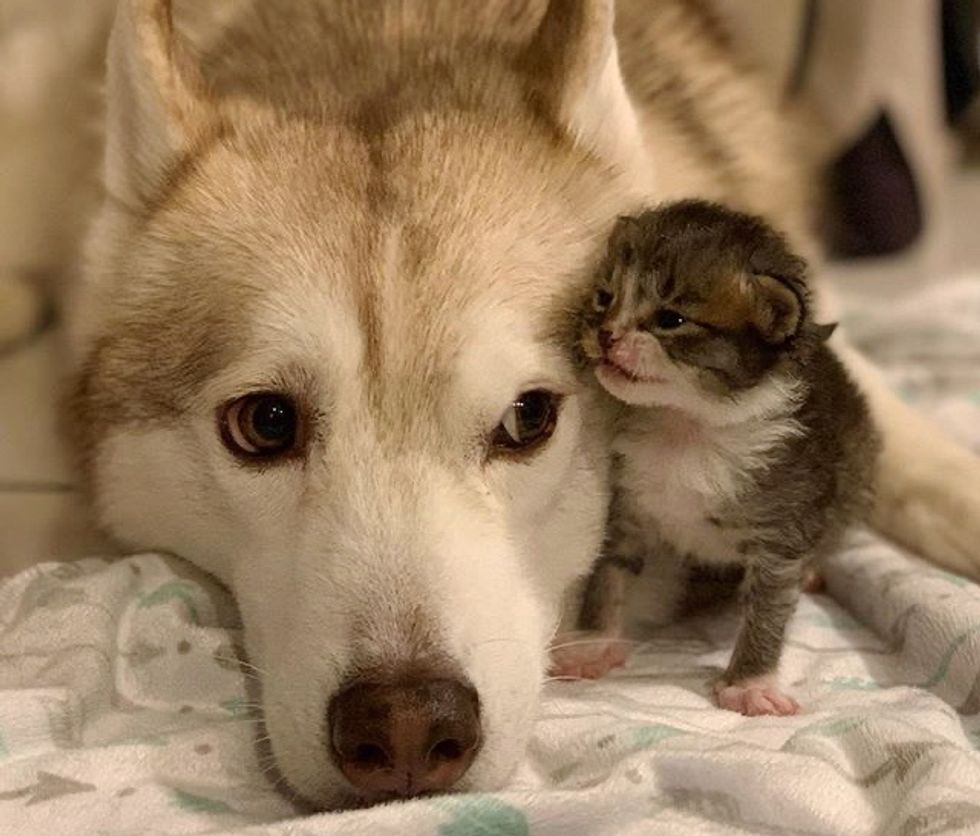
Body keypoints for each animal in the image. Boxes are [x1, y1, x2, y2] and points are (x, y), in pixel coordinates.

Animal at [556, 201, 876, 712]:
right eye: (604, 298)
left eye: (670, 320)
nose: (606, 335)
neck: (688, 426)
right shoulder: (629, 509)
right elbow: (608, 577)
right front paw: (593, 644)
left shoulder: (781, 533)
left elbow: (767, 609)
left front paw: (750, 684)